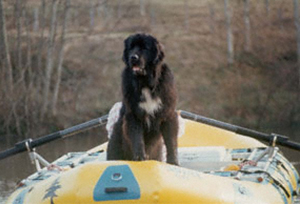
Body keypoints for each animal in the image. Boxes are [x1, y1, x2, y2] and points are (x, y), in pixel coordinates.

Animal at [106, 32, 178, 165]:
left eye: (144, 48)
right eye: (131, 47)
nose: (133, 57)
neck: (145, 84)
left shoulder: (168, 114)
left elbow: (171, 141)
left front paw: (174, 162)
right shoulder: (134, 114)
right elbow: (137, 137)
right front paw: (139, 157)